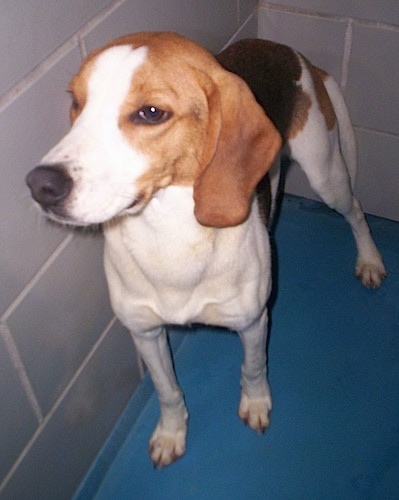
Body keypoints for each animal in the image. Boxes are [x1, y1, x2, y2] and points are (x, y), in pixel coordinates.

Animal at [25, 33, 388, 466]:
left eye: (151, 113)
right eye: (76, 102)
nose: (39, 185)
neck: (169, 235)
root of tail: (285, 48)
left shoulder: (253, 322)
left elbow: (253, 368)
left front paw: (256, 404)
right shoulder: (144, 332)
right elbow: (167, 390)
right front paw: (171, 432)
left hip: (326, 175)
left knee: (356, 212)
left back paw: (370, 260)